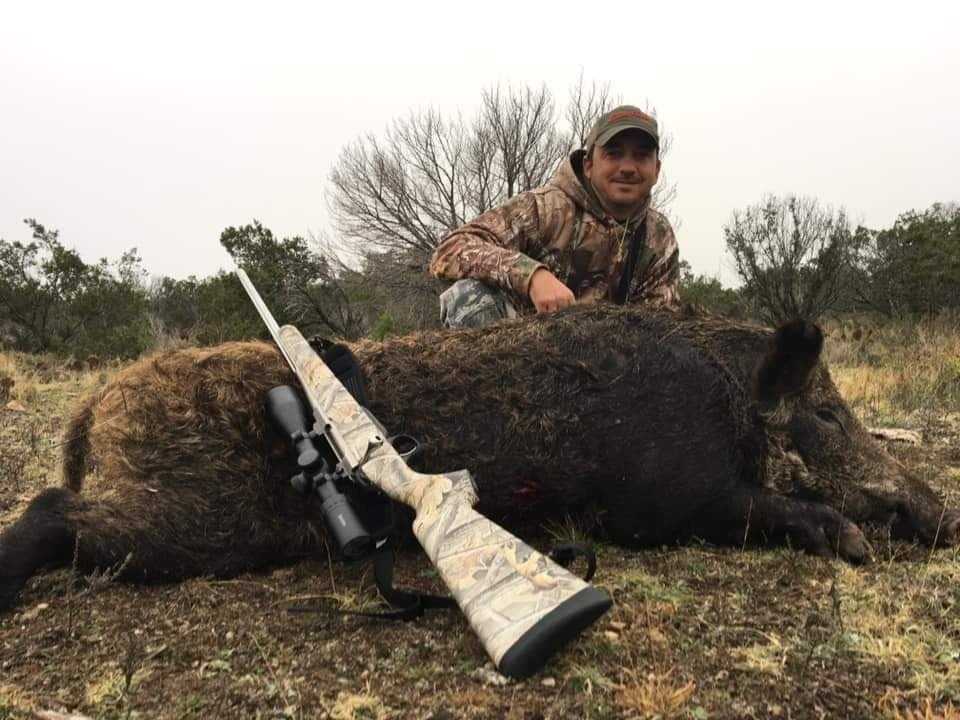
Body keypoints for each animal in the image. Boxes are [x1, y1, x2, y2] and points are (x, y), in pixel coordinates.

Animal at [1, 304, 957, 611]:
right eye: (827, 412)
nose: (943, 514)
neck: (727, 400)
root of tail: (92, 411)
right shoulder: (661, 509)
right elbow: (774, 510)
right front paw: (854, 544)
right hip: (190, 523)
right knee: (53, 511)